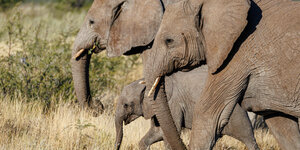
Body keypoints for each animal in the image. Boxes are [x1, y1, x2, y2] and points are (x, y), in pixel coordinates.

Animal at [114, 67, 258, 150]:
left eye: (126, 105)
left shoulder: (173, 104)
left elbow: (169, 132)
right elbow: (157, 131)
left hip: (237, 114)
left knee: (248, 137)